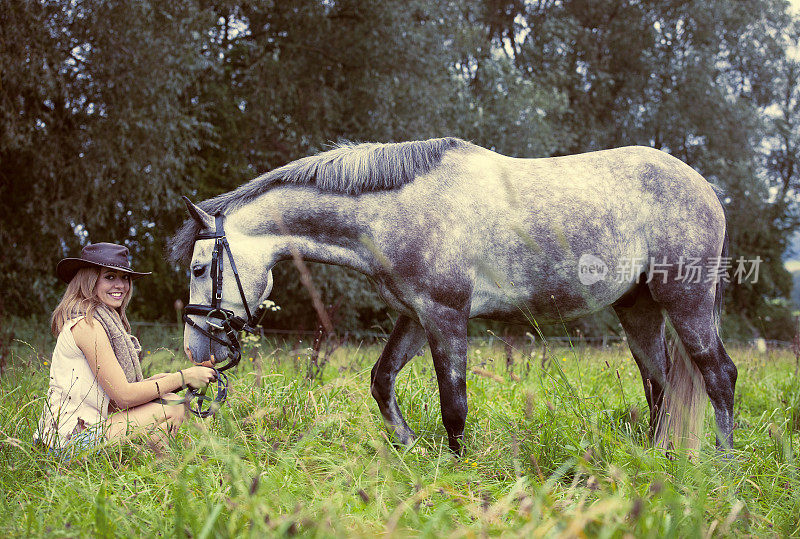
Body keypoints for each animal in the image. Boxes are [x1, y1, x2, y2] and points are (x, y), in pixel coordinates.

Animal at [169, 137, 736, 454]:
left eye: (198, 267)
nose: (197, 353)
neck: (399, 209)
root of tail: (706, 188)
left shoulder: (446, 316)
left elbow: (454, 403)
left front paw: (457, 471)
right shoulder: (417, 316)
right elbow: (381, 380)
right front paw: (411, 448)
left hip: (685, 300)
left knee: (719, 376)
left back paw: (722, 464)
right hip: (638, 308)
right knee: (660, 385)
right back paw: (658, 459)